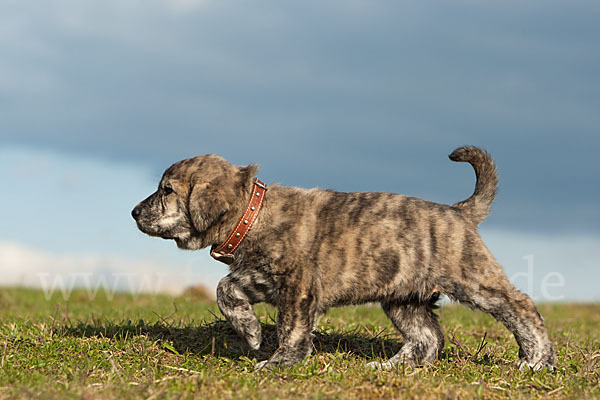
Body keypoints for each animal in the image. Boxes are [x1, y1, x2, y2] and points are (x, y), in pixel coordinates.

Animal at [134, 147, 556, 372]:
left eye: (167, 191)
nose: (134, 212)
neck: (253, 214)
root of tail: (458, 212)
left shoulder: (297, 290)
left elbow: (291, 330)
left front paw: (279, 363)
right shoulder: (258, 277)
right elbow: (225, 290)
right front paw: (250, 332)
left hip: (473, 280)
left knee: (521, 306)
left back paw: (537, 360)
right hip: (403, 298)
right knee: (427, 337)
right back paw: (392, 368)